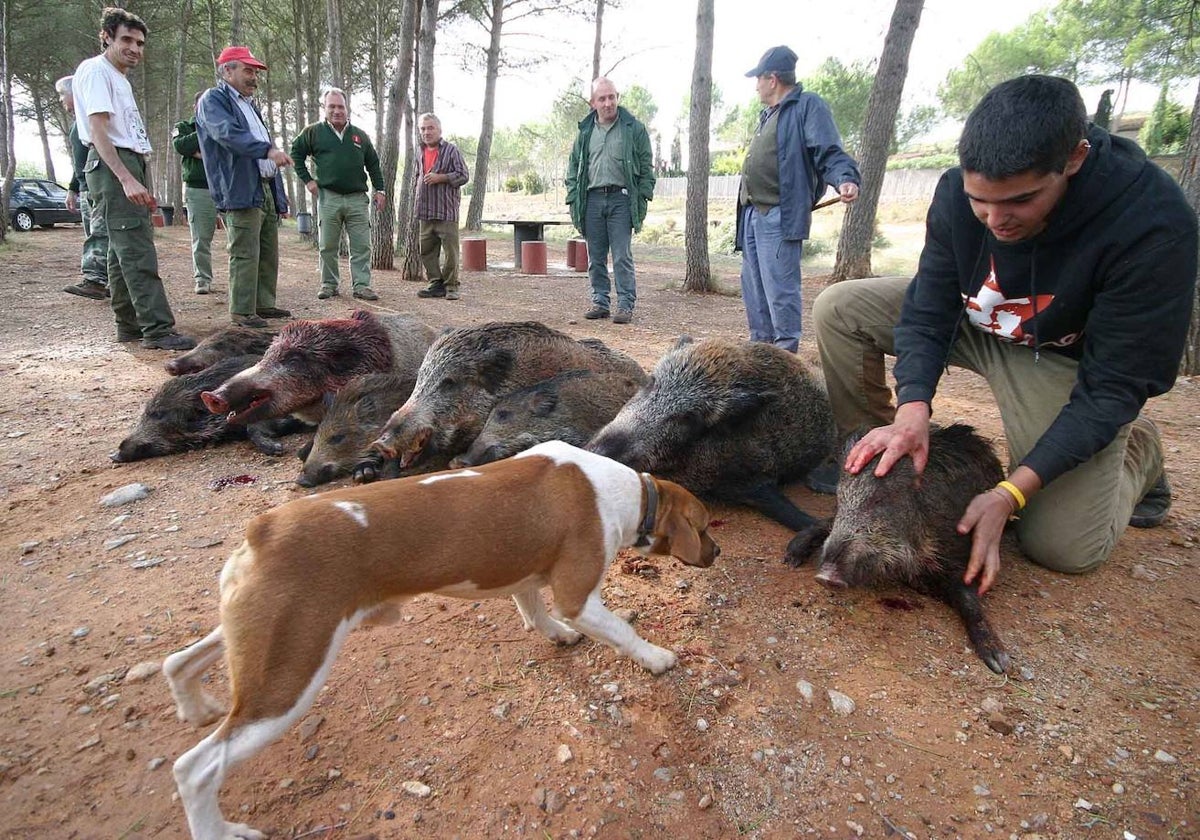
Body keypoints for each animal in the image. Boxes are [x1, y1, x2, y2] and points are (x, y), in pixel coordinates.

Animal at [164, 439, 715, 840]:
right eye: (707, 526)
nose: (717, 551)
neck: (630, 493)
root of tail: (263, 529)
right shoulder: (579, 597)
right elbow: (622, 630)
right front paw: (656, 657)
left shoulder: (526, 575)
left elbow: (533, 607)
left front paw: (554, 635)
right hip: (291, 676)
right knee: (196, 769)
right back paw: (219, 829)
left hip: (261, 638)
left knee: (180, 661)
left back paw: (195, 706)